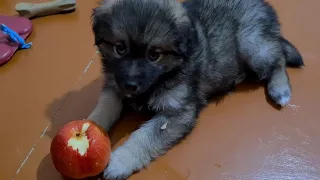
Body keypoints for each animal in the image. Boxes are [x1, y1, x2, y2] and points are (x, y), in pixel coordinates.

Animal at [89, 0, 302, 179]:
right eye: (120, 48)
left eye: (154, 55)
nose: (130, 85)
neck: (165, 73)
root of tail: (265, 5)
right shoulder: (114, 86)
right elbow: (103, 109)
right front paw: (90, 128)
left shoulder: (177, 112)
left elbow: (144, 137)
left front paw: (120, 161)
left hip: (253, 46)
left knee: (278, 58)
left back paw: (280, 89)